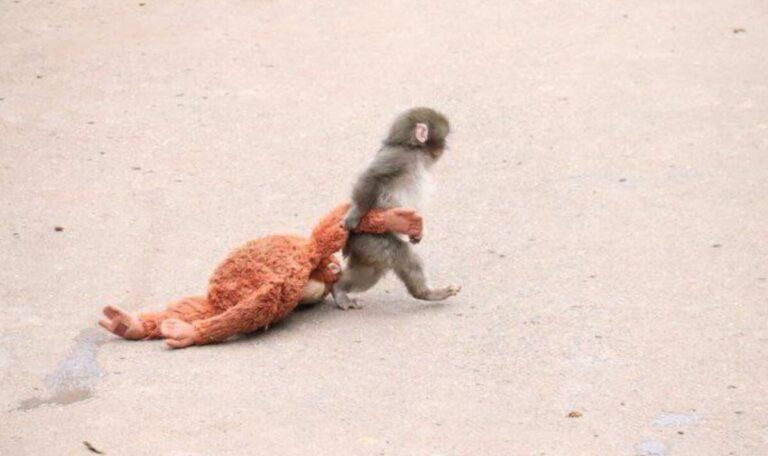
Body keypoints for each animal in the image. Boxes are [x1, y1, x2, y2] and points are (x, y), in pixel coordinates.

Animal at [332, 107, 461, 310]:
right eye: (444, 137)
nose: (446, 146)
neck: (411, 148)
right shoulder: (399, 158)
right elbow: (371, 176)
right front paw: (354, 215)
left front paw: (417, 233)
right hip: (371, 239)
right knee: (402, 255)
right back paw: (427, 293)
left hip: (367, 249)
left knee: (370, 271)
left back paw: (339, 287)